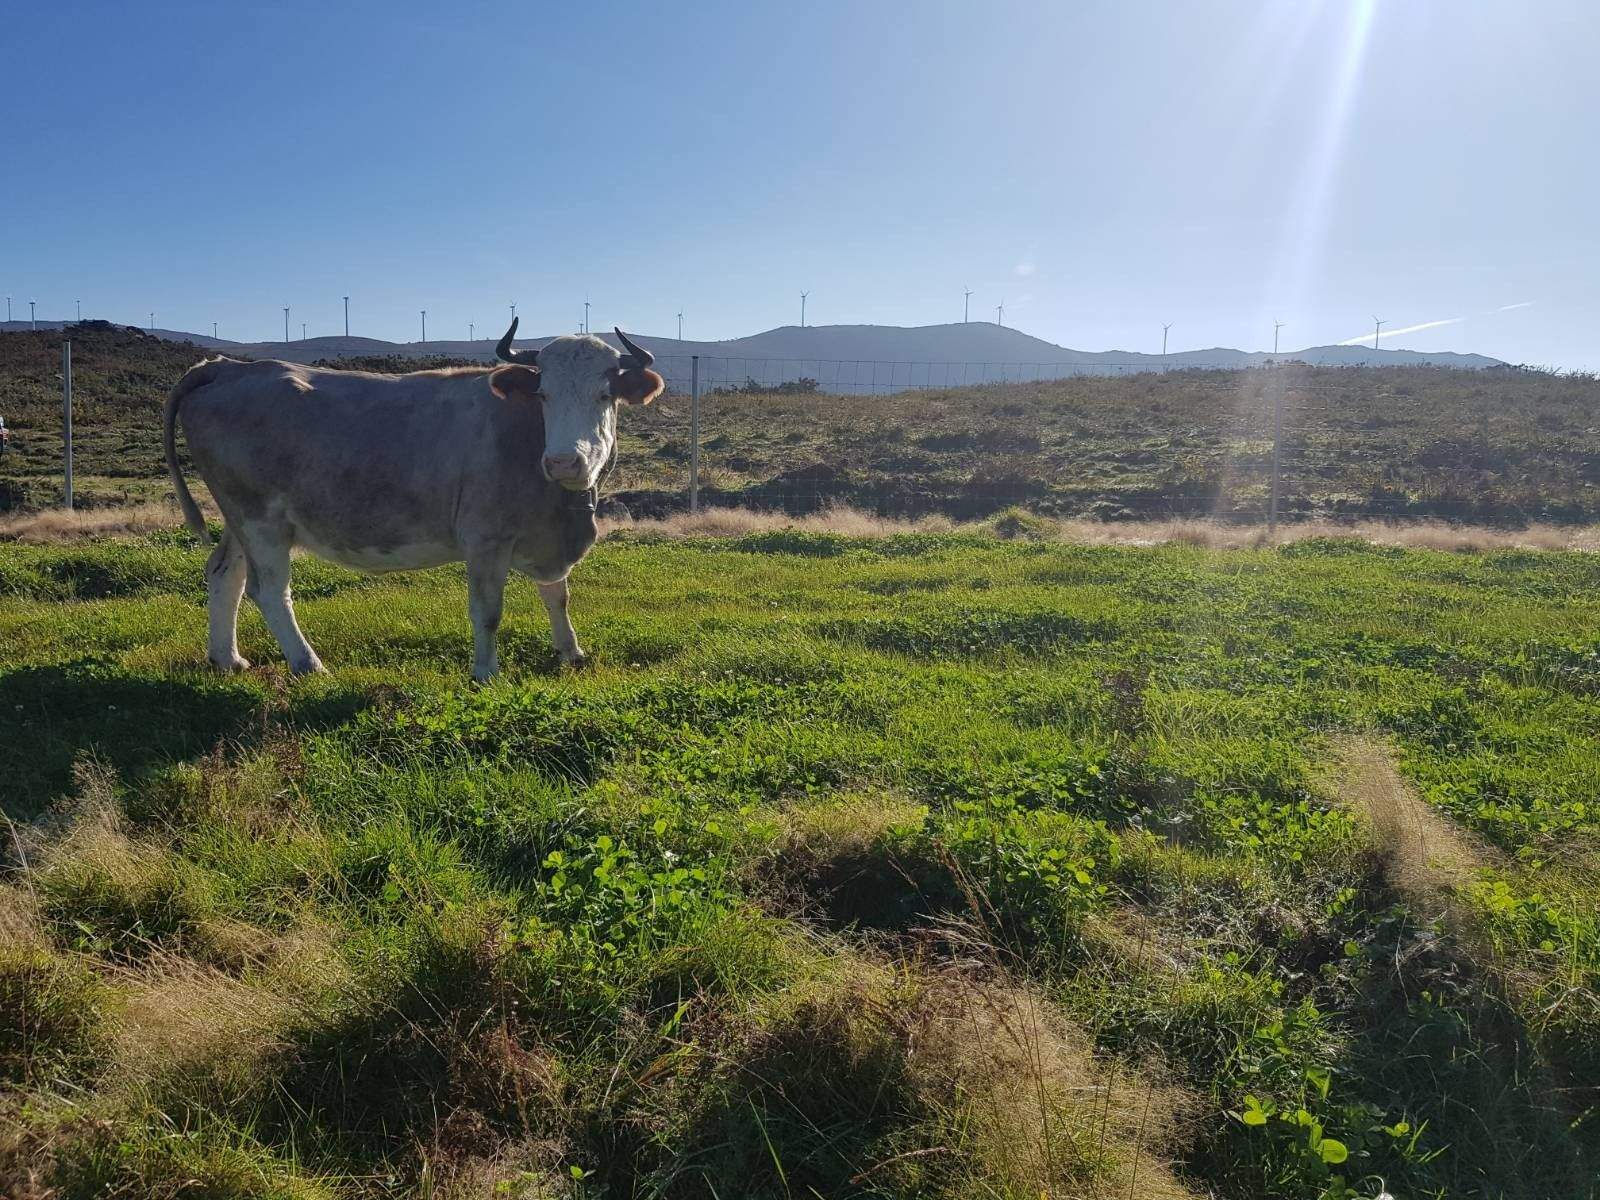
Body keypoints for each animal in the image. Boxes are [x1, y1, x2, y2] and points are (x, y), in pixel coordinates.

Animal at [162, 321, 663, 681]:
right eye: (544, 393)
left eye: (605, 394)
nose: (563, 462)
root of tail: (228, 366)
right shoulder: (485, 538)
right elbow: (488, 612)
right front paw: (486, 672)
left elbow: (557, 596)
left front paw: (571, 651)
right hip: (259, 517)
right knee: (269, 590)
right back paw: (308, 663)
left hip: (239, 517)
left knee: (224, 574)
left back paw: (227, 659)